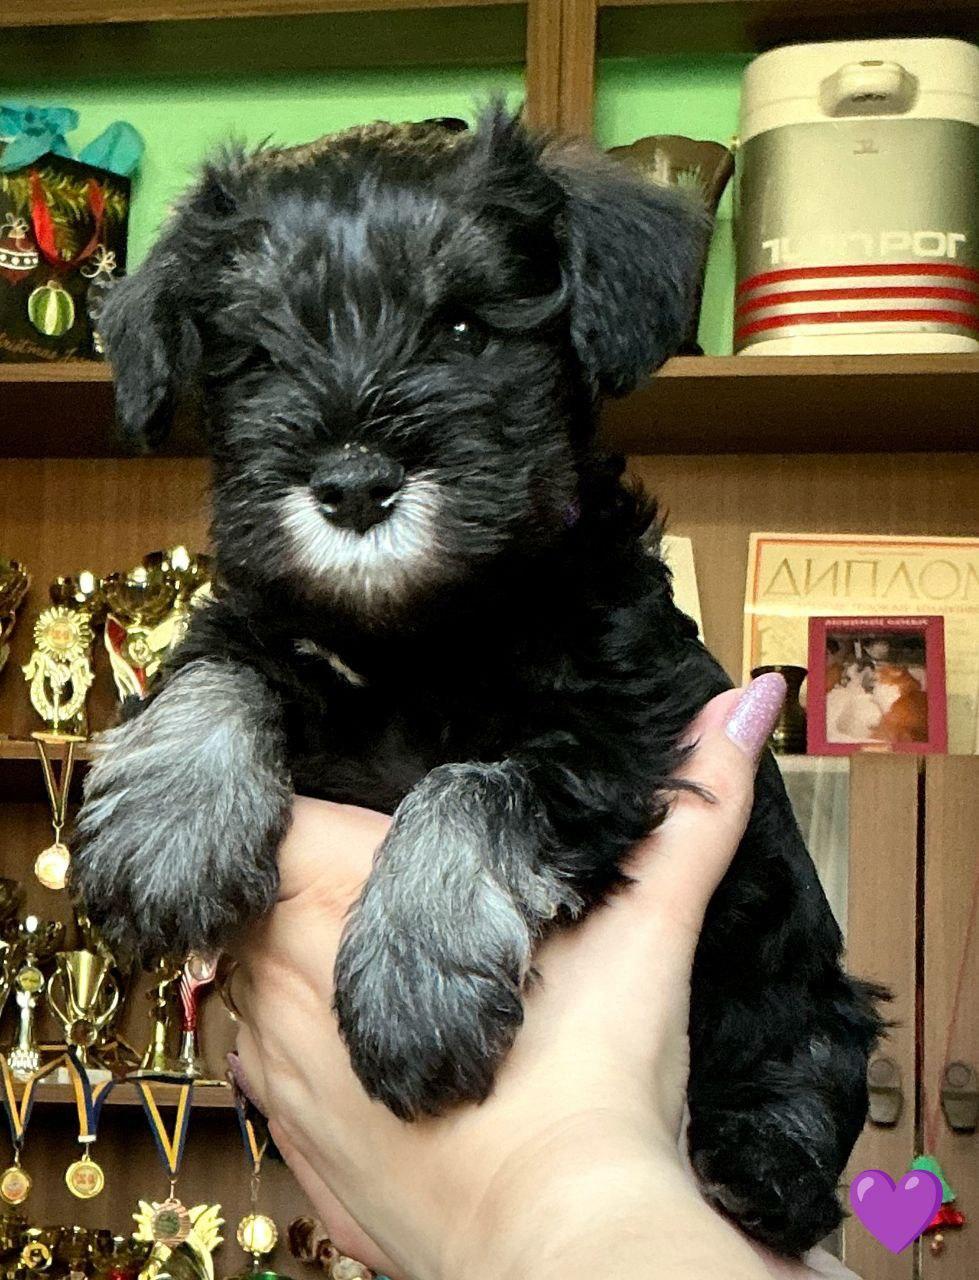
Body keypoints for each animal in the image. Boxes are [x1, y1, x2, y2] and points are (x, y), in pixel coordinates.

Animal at [71, 109, 883, 1256]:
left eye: (463, 328)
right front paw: (169, 823)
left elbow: (473, 787)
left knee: (805, 1063)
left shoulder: (614, 732)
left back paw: (761, 1170)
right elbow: (221, 664)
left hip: (789, 976)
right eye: (257, 356)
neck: (425, 629)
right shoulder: (276, 629)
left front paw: (414, 980)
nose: (354, 484)